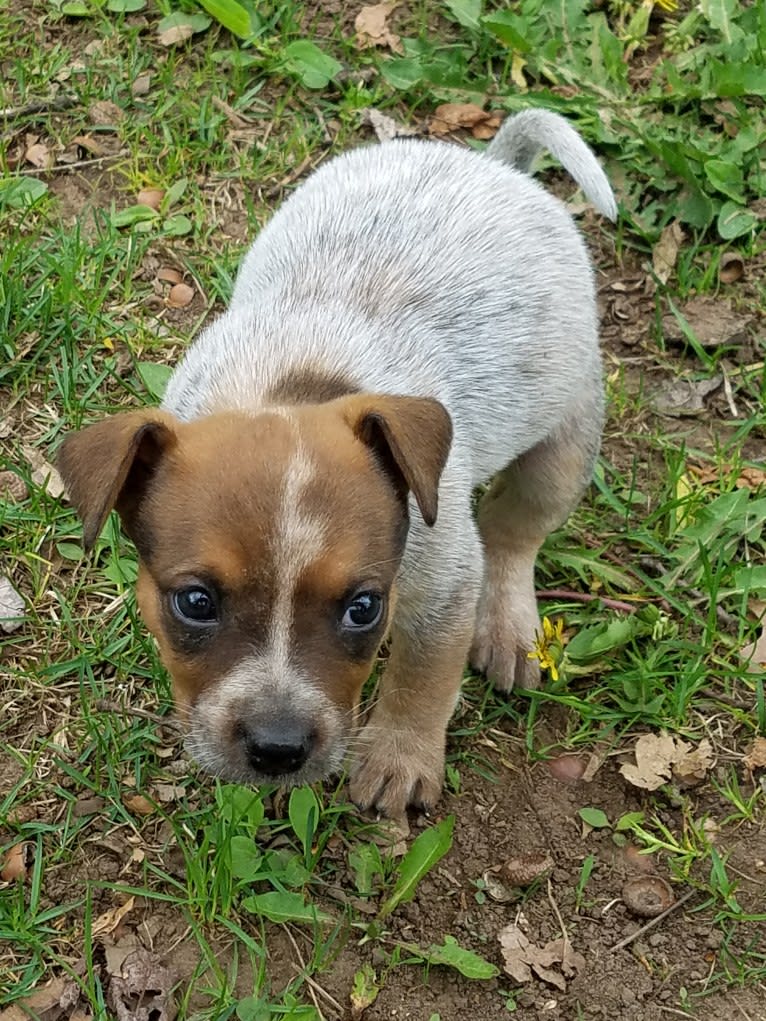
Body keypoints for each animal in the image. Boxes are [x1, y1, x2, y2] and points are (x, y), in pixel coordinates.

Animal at [61, 109, 625, 812]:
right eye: (194, 602)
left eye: (363, 608)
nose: (278, 748)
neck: (290, 392)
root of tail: (494, 164)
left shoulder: (445, 585)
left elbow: (422, 678)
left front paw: (399, 757)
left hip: (565, 441)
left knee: (515, 531)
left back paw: (507, 626)